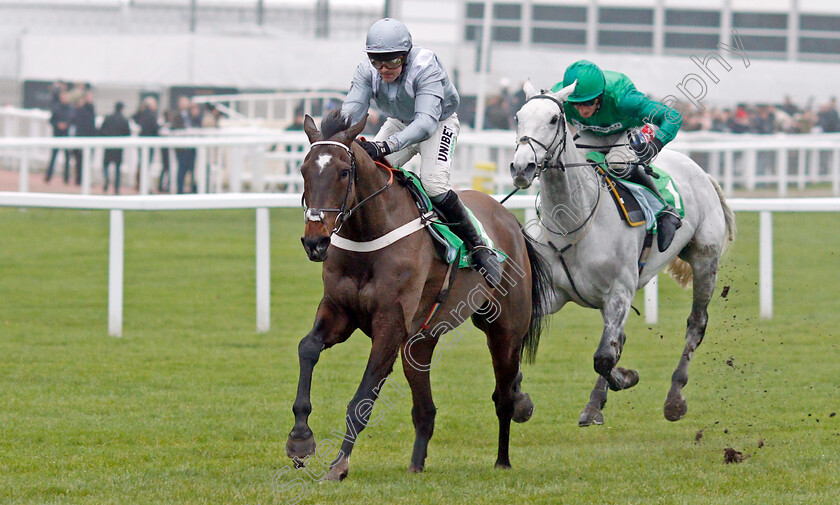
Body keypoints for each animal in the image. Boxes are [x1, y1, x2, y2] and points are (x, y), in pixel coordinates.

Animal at [286, 111, 556, 480]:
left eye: (343, 172)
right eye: (303, 170)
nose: (315, 241)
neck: (368, 235)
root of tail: (510, 221)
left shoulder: (390, 323)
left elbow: (362, 399)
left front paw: (338, 464)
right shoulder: (339, 311)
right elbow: (307, 348)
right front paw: (299, 439)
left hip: (505, 330)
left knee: (503, 395)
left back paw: (505, 452)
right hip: (420, 342)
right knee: (426, 410)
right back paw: (416, 465)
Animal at [506, 81, 736, 426]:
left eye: (553, 119)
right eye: (518, 117)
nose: (522, 167)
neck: (574, 221)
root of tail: (701, 171)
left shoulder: (619, 292)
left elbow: (604, 357)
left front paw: (626, 378)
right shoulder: (554, 294)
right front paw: (521, 400)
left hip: (704, 259)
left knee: (696, 324)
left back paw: (674, 397)